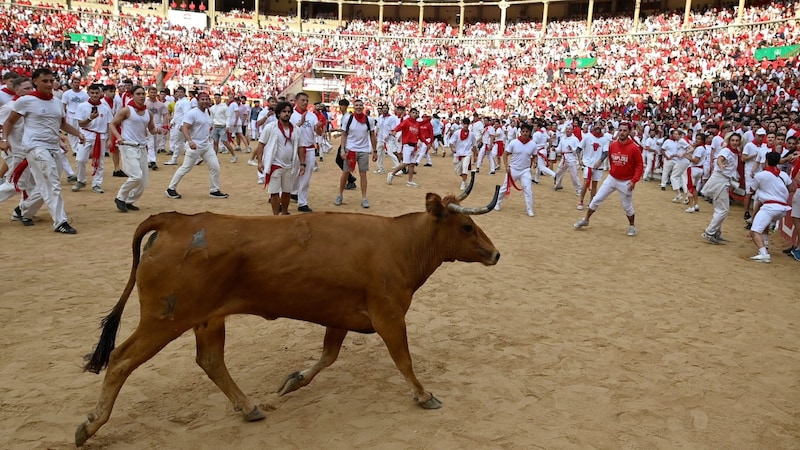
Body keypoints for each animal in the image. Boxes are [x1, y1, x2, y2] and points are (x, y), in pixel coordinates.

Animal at [76, 176, 500, 446]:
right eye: (466, 226)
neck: (400, 244)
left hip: (207, 318)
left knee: (211, 360)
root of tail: (176, 222)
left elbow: (327, 357)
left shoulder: (340, 317)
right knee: (120, 360)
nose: (495, 253)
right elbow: (404, 360)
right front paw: (424, 395)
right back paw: (91, 424)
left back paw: (249, 407)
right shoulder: (389, 316)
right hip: (164, 319)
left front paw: (293, 381)